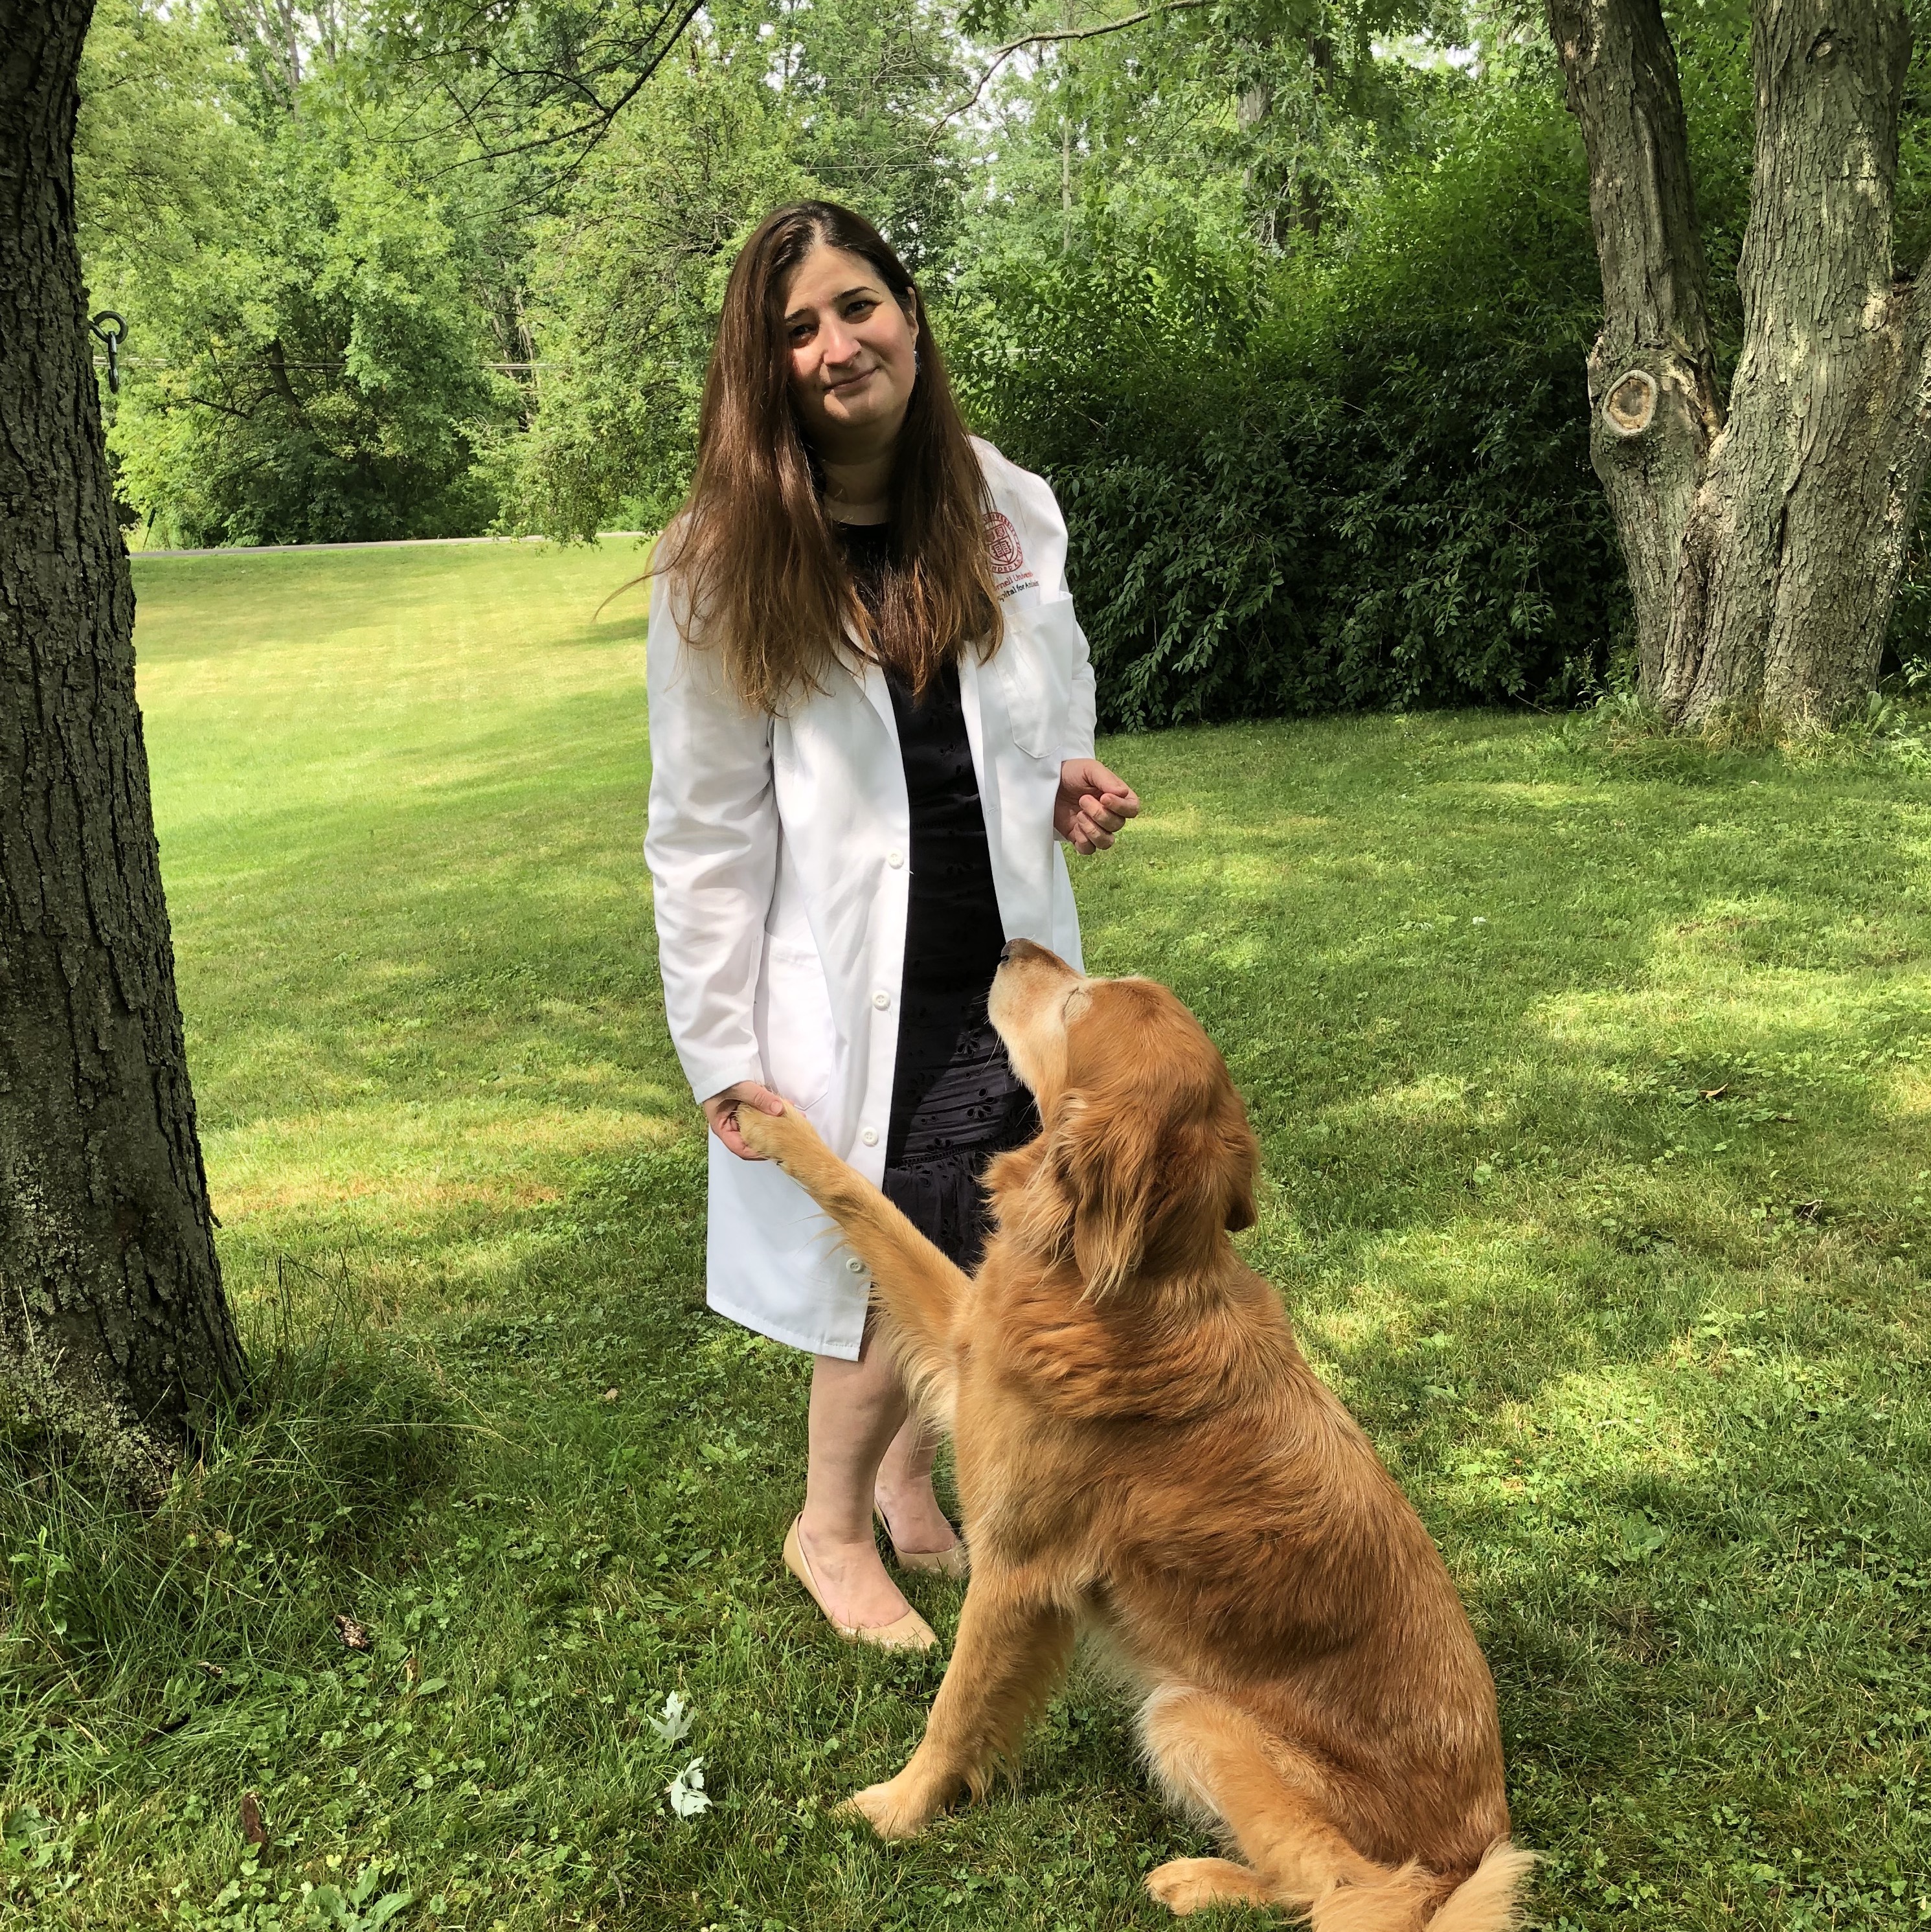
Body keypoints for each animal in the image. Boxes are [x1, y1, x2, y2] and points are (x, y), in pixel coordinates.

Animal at [740, 940, 1532, 1928]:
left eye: (1077, 1003)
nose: (1009, 945)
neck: (1121, 1286)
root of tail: (1467, 1854)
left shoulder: (1016, 1567)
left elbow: (954, 1709)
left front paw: (898, 1808)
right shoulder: (962, 1349)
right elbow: (866, 1203)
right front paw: (770, 1123)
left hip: (1190, 1713)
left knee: (1347, 1890)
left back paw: (1199, 1879)